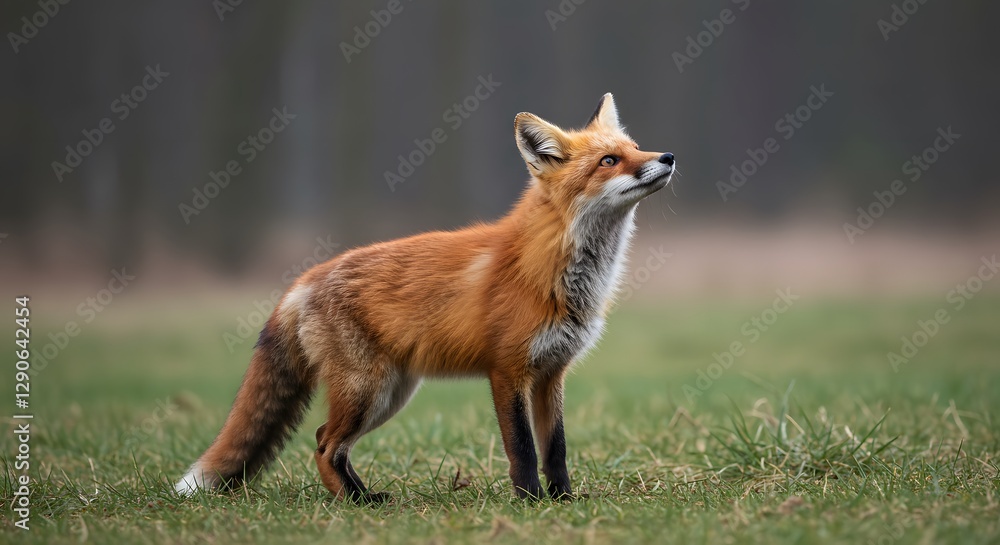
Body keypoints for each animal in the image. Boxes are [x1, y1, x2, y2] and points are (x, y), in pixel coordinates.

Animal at [175, 93, 675, 502]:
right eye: (609, 160)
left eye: (636, 148)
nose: (668, 156)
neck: (555, 268)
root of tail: (306, 277)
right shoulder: (507, 370)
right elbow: (523, 450)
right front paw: (531, 502)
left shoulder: (552, 374)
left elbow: (556, 450)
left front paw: (564, 500)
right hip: (367, 391)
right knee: (323, 445)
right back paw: (355, 503)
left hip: (390, 395)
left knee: (324, 439)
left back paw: (364, 495)